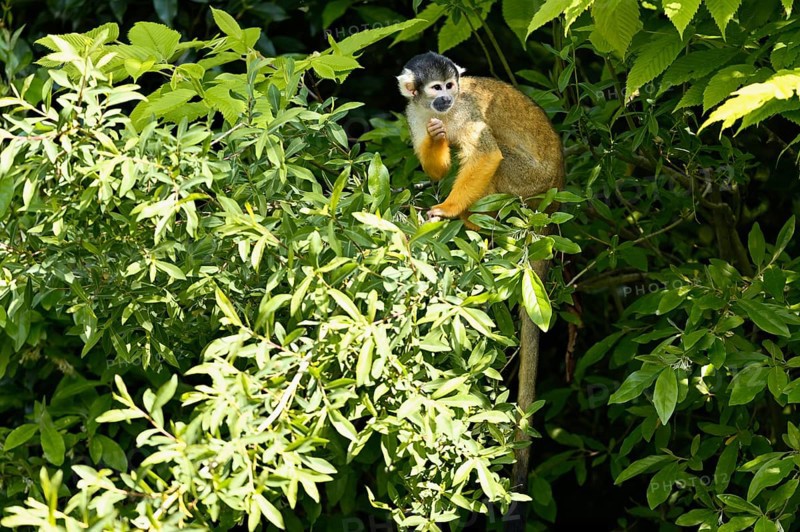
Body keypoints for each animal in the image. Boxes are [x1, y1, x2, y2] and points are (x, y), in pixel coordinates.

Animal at [397, 52, 565, 506]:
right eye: (435, 89)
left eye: (451, 87)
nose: (446, 99)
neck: (443, 111)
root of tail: (557, 187)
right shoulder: (414, 112)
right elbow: (436, 163)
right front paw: (436, 142)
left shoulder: (467, 112)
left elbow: (486, 156)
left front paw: (449, 210)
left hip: (531, 183)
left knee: (498, 158)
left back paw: (471, 221)